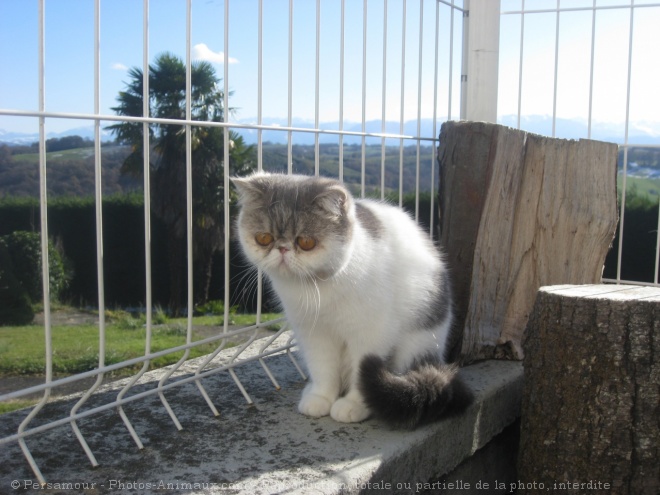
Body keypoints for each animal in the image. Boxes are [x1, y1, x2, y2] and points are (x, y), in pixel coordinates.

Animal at [233, 172, 474, 428]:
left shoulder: (372, 333)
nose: (282, 249)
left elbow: (361, 372)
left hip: (417, 343)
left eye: (306, 242)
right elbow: (323, 368)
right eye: (263, 238)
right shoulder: (313, 333)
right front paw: (321, 397)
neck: (319, 289)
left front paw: (353, 405)